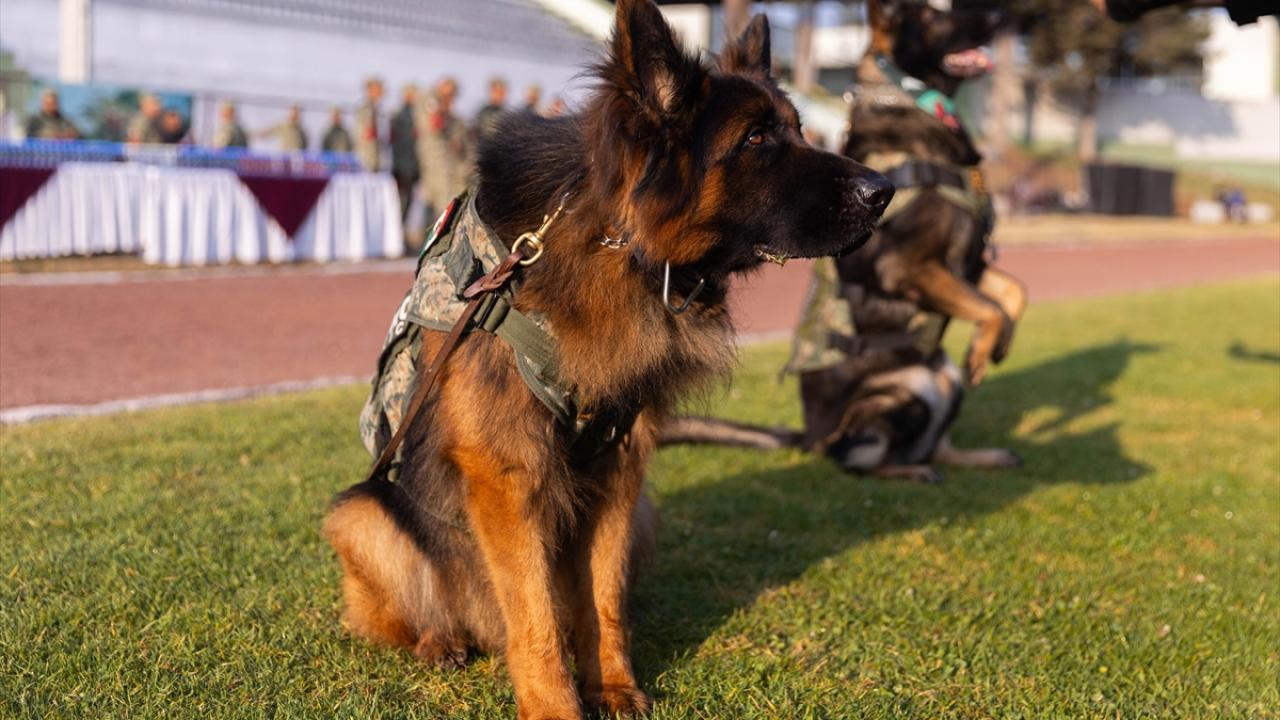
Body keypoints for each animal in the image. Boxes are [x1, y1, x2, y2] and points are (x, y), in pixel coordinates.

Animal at [323, 1, 893, 717]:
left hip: (643, 511)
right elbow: (535, 616)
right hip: (362, 514)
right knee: (402, 610)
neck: (615, 243)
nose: (885, 189)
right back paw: (438, 639)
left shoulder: (621, 465)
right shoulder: (507, 474)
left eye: (797, 129)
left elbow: (603, 595)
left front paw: (615, 685)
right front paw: (555, 705)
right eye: (758, 140)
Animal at [664, 0, 1027, 484]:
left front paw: (996, 347)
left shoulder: (968, 264)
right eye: (938, 13)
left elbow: (1013, 293)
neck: (908, 98)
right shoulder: (909, 266)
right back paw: (911, 471)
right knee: (856, 459)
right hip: (896, 397)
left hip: (945, 382)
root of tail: (808, 436)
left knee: (937, 446)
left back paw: (981, 457)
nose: (1004, 17)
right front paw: (986, 350)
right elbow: (992, 309)